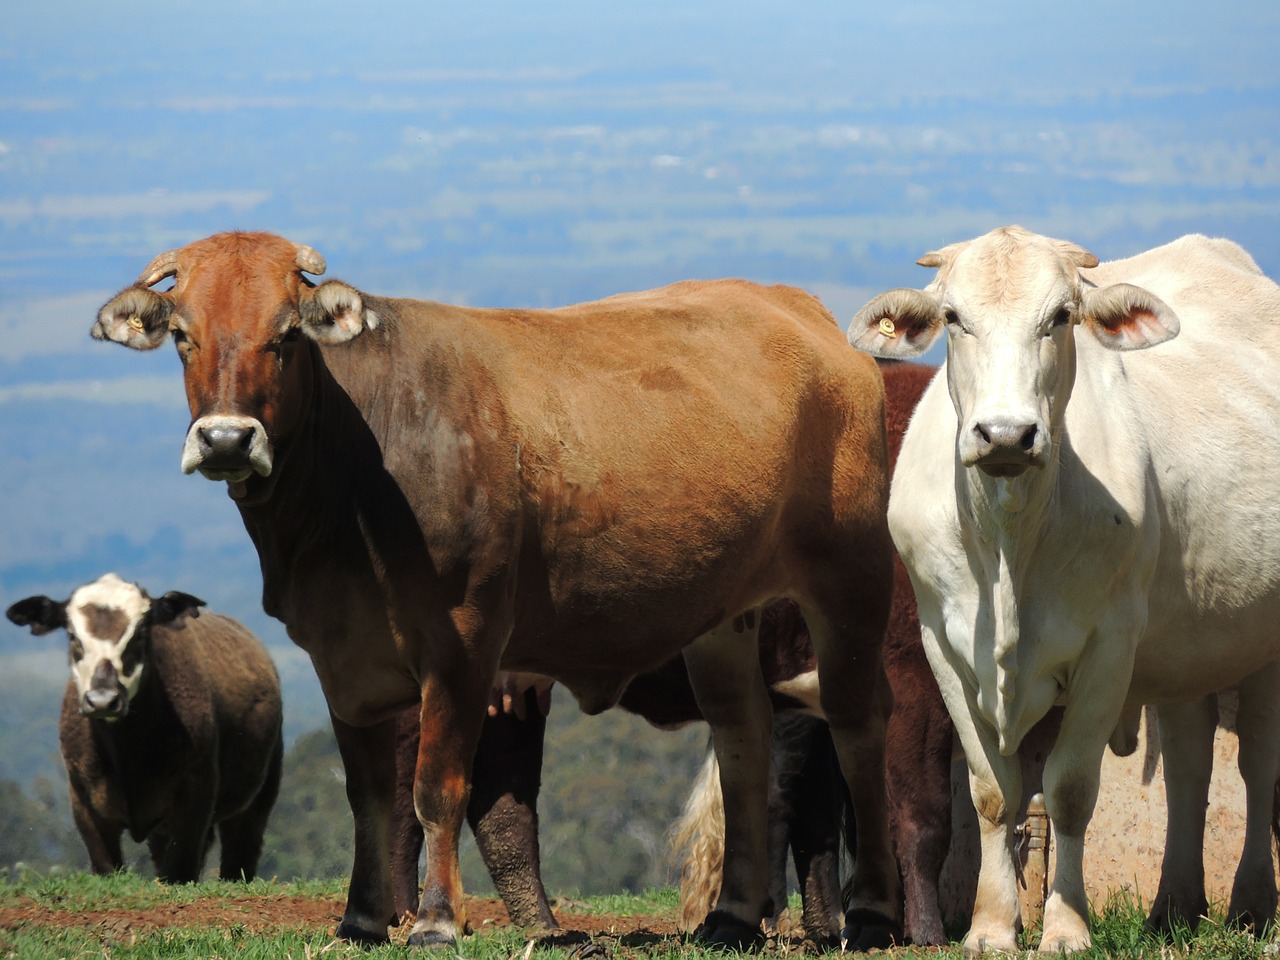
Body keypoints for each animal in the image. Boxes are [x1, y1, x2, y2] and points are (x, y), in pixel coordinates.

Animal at [4, 576, 285, 885]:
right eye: (73, 637)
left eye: (139, 634)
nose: (103, 700)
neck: (128, 752)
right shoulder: (83, 800)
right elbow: (108, 867)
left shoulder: (196, 796)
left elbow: (179, 870)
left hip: (258, 797)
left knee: (239, 857)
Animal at [92, 231, 901, 947]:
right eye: (183, 335)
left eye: (286, 335)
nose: (227, 439)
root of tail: (799, 308)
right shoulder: (338, 655)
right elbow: (369, 795)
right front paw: (360, 920)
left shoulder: (463, 644)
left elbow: (435, 788)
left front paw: (435, 922)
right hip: (725, 612)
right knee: (743, 736)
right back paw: (730, 918)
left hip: (848, 577)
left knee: (859, 725)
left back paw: (872, 916)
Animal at [849, 227, 1280, 957]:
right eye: (954, 318)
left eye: (1059, 317)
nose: (1005, 434)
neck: (1009, 543)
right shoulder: (943, 649)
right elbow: (995, 792)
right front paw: (993, 928)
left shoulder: (1107, 649)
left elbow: (1070, 791)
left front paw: (1067, 928)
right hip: (1187, 646)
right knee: (1190, 766)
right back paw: (1174, 906)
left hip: (1261, 646)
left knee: (1255, 766)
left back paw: (1251, 904)